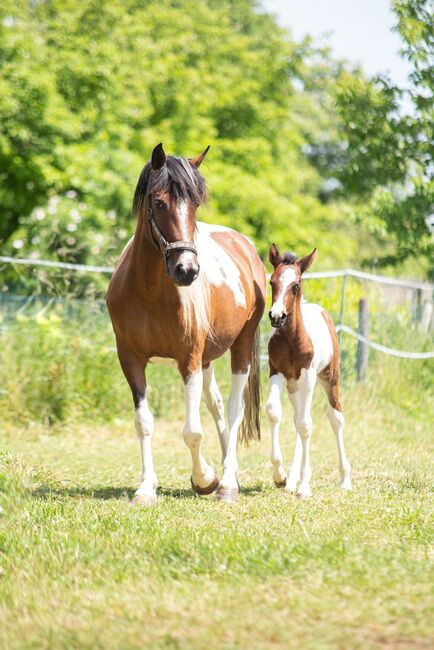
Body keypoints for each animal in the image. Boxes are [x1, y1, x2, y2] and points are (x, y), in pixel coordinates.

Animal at [107, 144, 266, 504]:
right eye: (158, 202)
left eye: (193, 204)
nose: (187, 270)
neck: (148, 292)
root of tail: (245, 245)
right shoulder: (130, 360)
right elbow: (144, 422)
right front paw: (146, 487)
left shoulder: (189, 360)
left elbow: (192, 431)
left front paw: (204, 478)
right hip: (208, 360)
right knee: (217, 407)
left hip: (240, 349)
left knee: (233, 411)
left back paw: (227, 483)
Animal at [264, 243, 352, 496]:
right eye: (272, 282)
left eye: (296, 286)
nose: (277, 316)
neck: (292, 340)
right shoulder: (276, 373)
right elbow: (274, 411)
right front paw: (280, 476)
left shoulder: (308, 377)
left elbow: (306, 425)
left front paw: (304, 486)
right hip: (293, 388)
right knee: (296, 418)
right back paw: (291, 479)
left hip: (329, 379)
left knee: (335, 418)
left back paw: (345, 480)